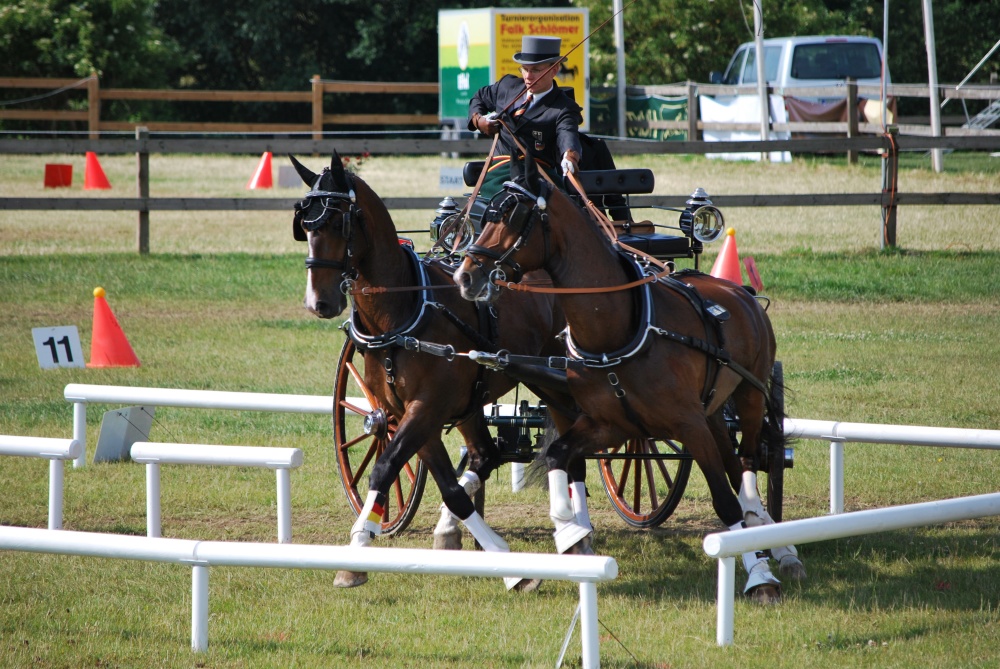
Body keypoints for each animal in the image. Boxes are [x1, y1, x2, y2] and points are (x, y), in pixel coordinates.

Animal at [290, 154, 588, 588]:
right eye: (305, 225)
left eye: (337, 222)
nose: (319, 302)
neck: (403, 313)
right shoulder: (407, 413)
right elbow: (450, 487)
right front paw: (502, 562)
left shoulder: (426, 408)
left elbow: (383, 469)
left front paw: (357, 551)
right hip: (478, 400)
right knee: (486, 454)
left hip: (558, 383)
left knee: (569, 449)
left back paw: (576, 531)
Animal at [454, 166, 804, 600]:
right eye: (483, 216)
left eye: (512, 217)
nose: (465, 276)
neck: (618, 329)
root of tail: (741, 292)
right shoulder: (610, 425)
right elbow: (558, 456)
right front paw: (570, 534)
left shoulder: (688, 425)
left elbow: (725, 502)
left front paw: (758, 576)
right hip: (712, 412)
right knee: (734, 461)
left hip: (749, 397)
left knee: (750, 462)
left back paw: (775, 541)